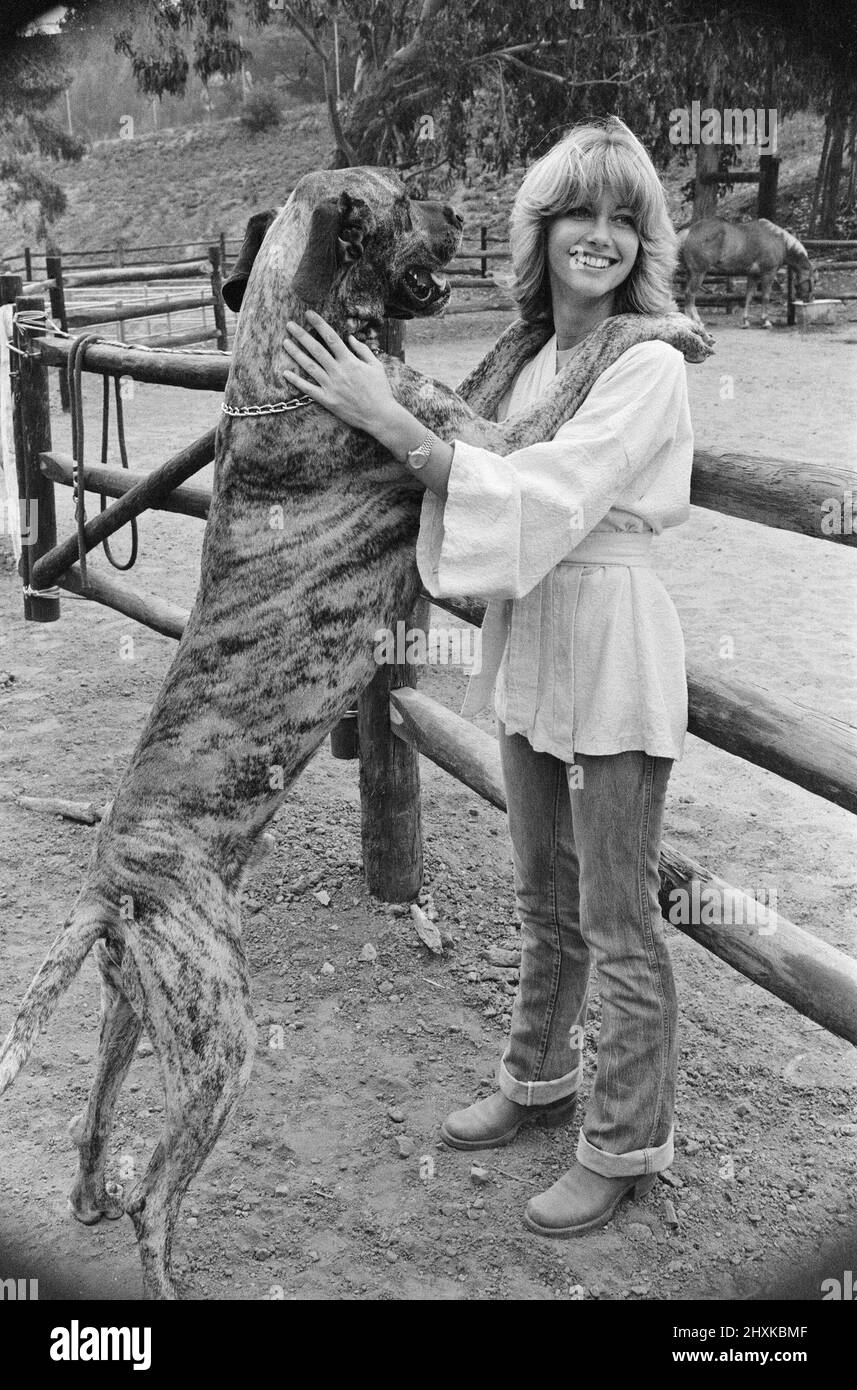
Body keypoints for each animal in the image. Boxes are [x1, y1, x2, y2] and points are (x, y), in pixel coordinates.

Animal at [675, 218, 816, 329]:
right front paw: (765, 321)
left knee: (687, 294)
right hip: (699, 273)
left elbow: (749, 296)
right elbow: (765, 296)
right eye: (812, 280)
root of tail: (690, 230)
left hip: (690, 273)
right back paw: (697, 321)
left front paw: (745, 321)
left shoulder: (753, 275)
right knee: (691, 295)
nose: (810, 300)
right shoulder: (768, 273)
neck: (778, 240)